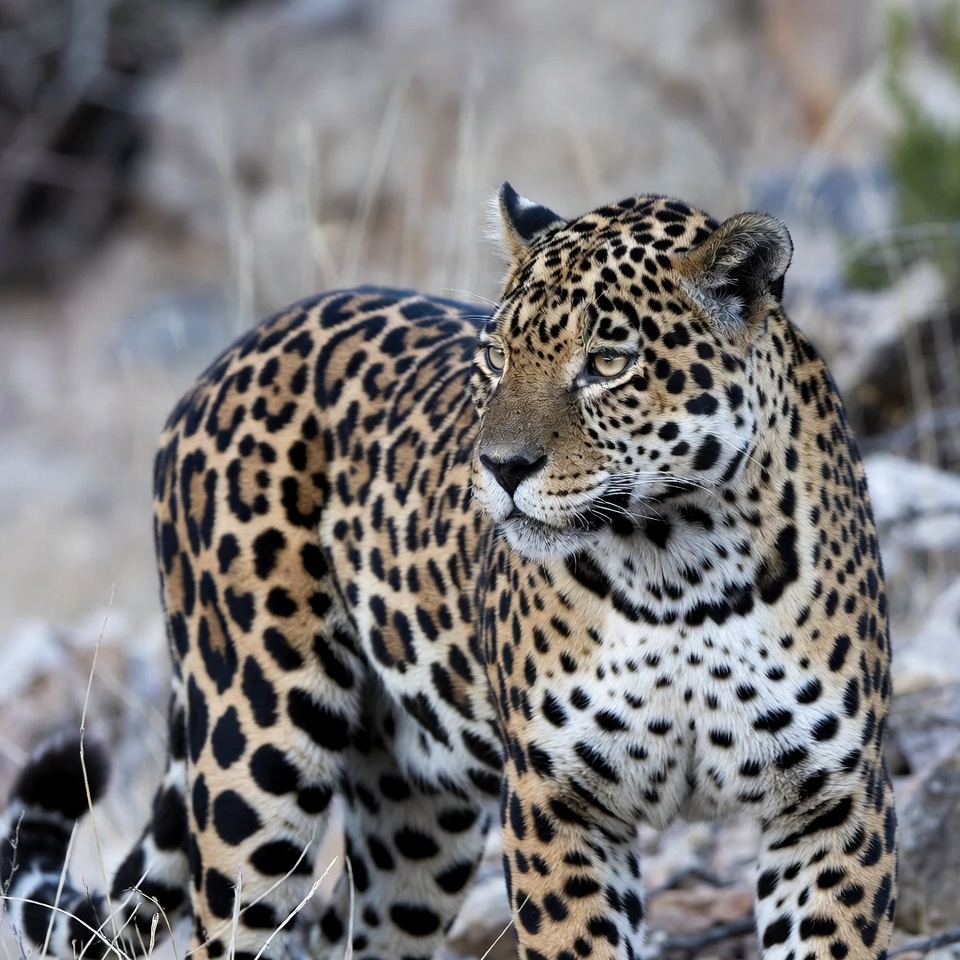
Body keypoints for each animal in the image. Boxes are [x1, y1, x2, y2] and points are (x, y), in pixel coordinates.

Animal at [1, 184, 897, 960]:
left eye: (608, 363)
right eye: (497, 356)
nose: (500, 466)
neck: (679, 565)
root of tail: (230, 356)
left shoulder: (832, 800)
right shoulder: (556, 802)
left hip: (414, 818)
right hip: (255, 750)